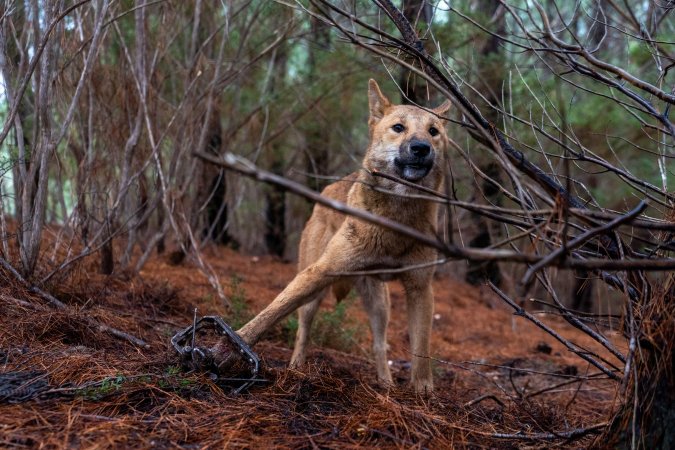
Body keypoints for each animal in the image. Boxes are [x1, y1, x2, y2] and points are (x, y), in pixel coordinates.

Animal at [235, 81, 452, 394]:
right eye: (398, 127)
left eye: (433, 131)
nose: (421, 147)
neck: (395, 218)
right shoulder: (320, 272)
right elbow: (273, 310)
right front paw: (236, 339)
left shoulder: (420, 288)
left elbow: (421, 348)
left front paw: (423, 390)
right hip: (314, 289)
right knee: (303, 330)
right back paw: (296, 369)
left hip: (379, 304)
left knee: (379, 345)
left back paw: (385, 384)